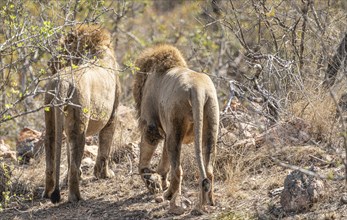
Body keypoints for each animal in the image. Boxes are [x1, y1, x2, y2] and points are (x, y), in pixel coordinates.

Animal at [42, 24, 121, 204]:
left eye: (61, 48)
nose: (50, 62)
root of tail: (62, 82)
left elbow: (69, 156)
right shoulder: (112, 116)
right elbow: (105, 147)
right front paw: (104, 174)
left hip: (51, 120)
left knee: (51, 158)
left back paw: (48, 193)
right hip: (80, 125)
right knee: (73, 165)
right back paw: (76, 197)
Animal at [133, 43, 220, 214]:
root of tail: (198, 89)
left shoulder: (151, 125)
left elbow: (145, 157)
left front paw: (150, 180)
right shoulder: (167, 131)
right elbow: (164, 160)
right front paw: (159, 180)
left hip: (175, 125)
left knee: (178, 170)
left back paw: (170, 196)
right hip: (210, 122)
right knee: (208, 169)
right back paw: (208, 202)